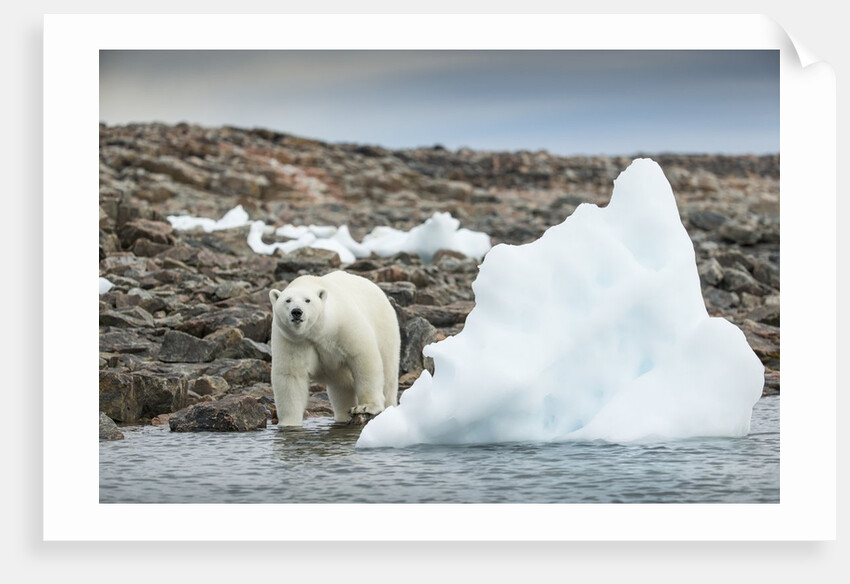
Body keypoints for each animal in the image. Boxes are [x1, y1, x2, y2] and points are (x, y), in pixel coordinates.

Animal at [268, 270, 401, 426]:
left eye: (307, 300)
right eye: (287, 300)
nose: (297, 312)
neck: (318, 331)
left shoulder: (343, 325)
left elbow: (363, 357)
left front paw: (365, 407)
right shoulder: (292, 340)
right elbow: (290, 375)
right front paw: (289, 423)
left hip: (385, 329)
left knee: (388, 373)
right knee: (342, 387)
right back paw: (343, 415)